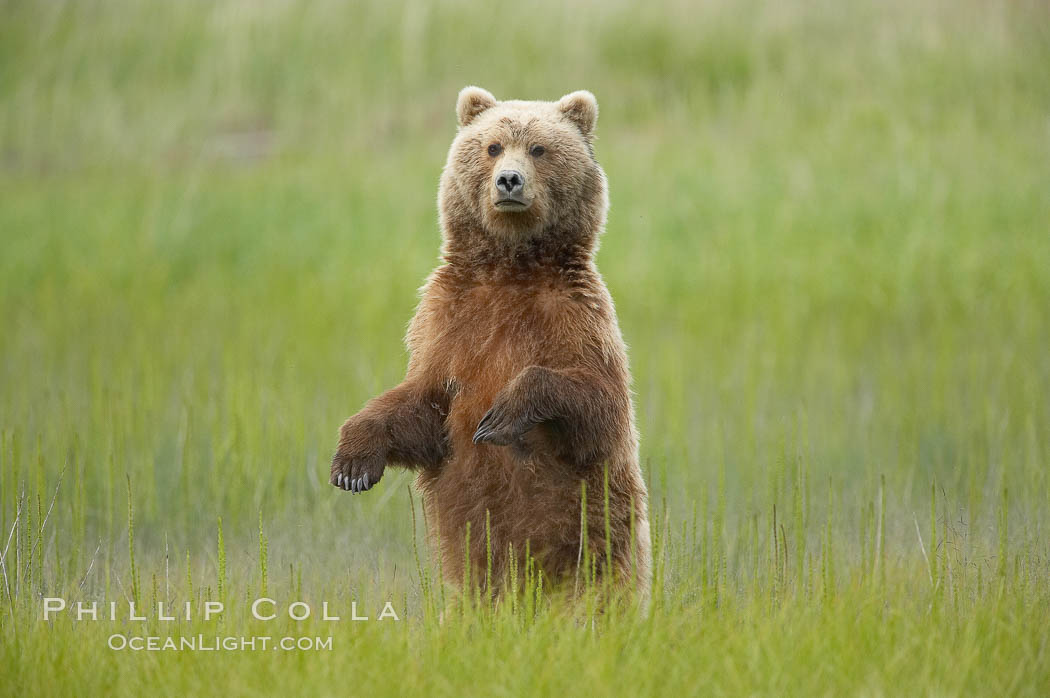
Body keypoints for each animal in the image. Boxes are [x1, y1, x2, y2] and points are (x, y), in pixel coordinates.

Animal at [331, 85, 651, 600]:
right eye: (493, 146)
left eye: (539, 148)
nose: (509, 181)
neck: (511, 269)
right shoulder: (448, 320)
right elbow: (422, 403)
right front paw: (352, 464)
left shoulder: (577, 318)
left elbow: (598, 403)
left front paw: (499, 416)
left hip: (598, 544)